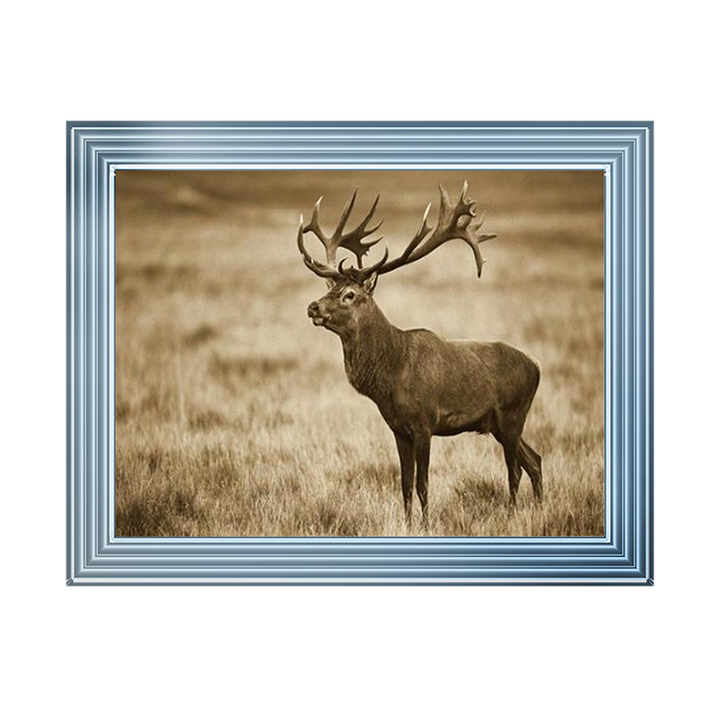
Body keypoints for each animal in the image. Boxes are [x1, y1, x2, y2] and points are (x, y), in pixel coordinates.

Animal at [297, 182, 543, 529]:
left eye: (350, 295)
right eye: (329, 287)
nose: (313, 307)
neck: (390, 376)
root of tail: (537, 367)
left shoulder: (425, 422)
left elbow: (423, 484)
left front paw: (425, 526)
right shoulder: (398, 429)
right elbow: (404, 484)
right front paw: (407, 523)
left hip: (512, 415)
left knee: (515, 470)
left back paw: (512, 516)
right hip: (499, 423)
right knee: (535, 460)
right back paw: (540, 509)